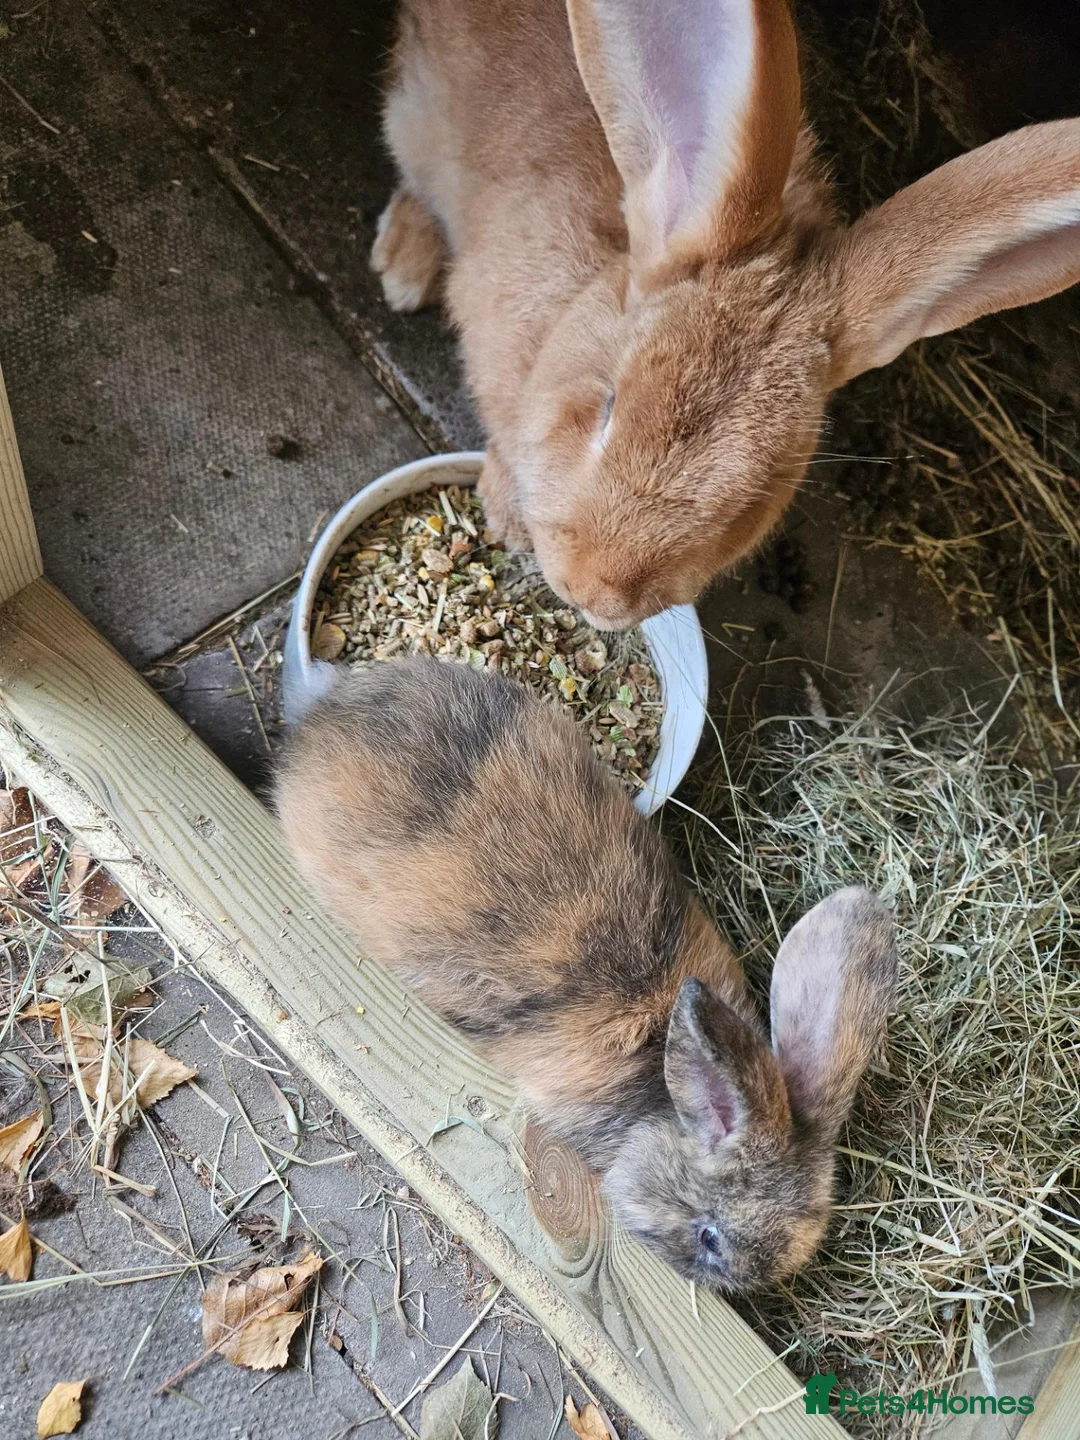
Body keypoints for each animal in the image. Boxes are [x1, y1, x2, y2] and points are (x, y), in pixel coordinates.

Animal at [370, 0, 1080, 632]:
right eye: (607, 407)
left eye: (755, 500)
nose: (593, 590)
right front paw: (502, 509)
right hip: (416, 110)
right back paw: (403, 265)